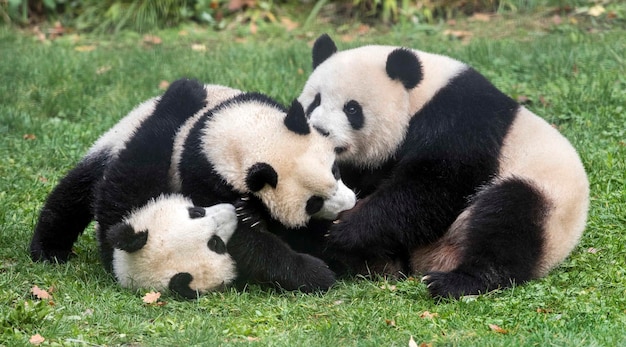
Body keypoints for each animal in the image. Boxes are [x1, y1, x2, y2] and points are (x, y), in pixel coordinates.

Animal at [294, 34, 588, 300]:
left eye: (352, 109)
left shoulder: (460, 121)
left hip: (546, 203)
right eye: (315, 101)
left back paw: (456, 282)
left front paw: (346, 230)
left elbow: (435, 186)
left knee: (509, 220)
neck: (421, 96)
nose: (320, 130)